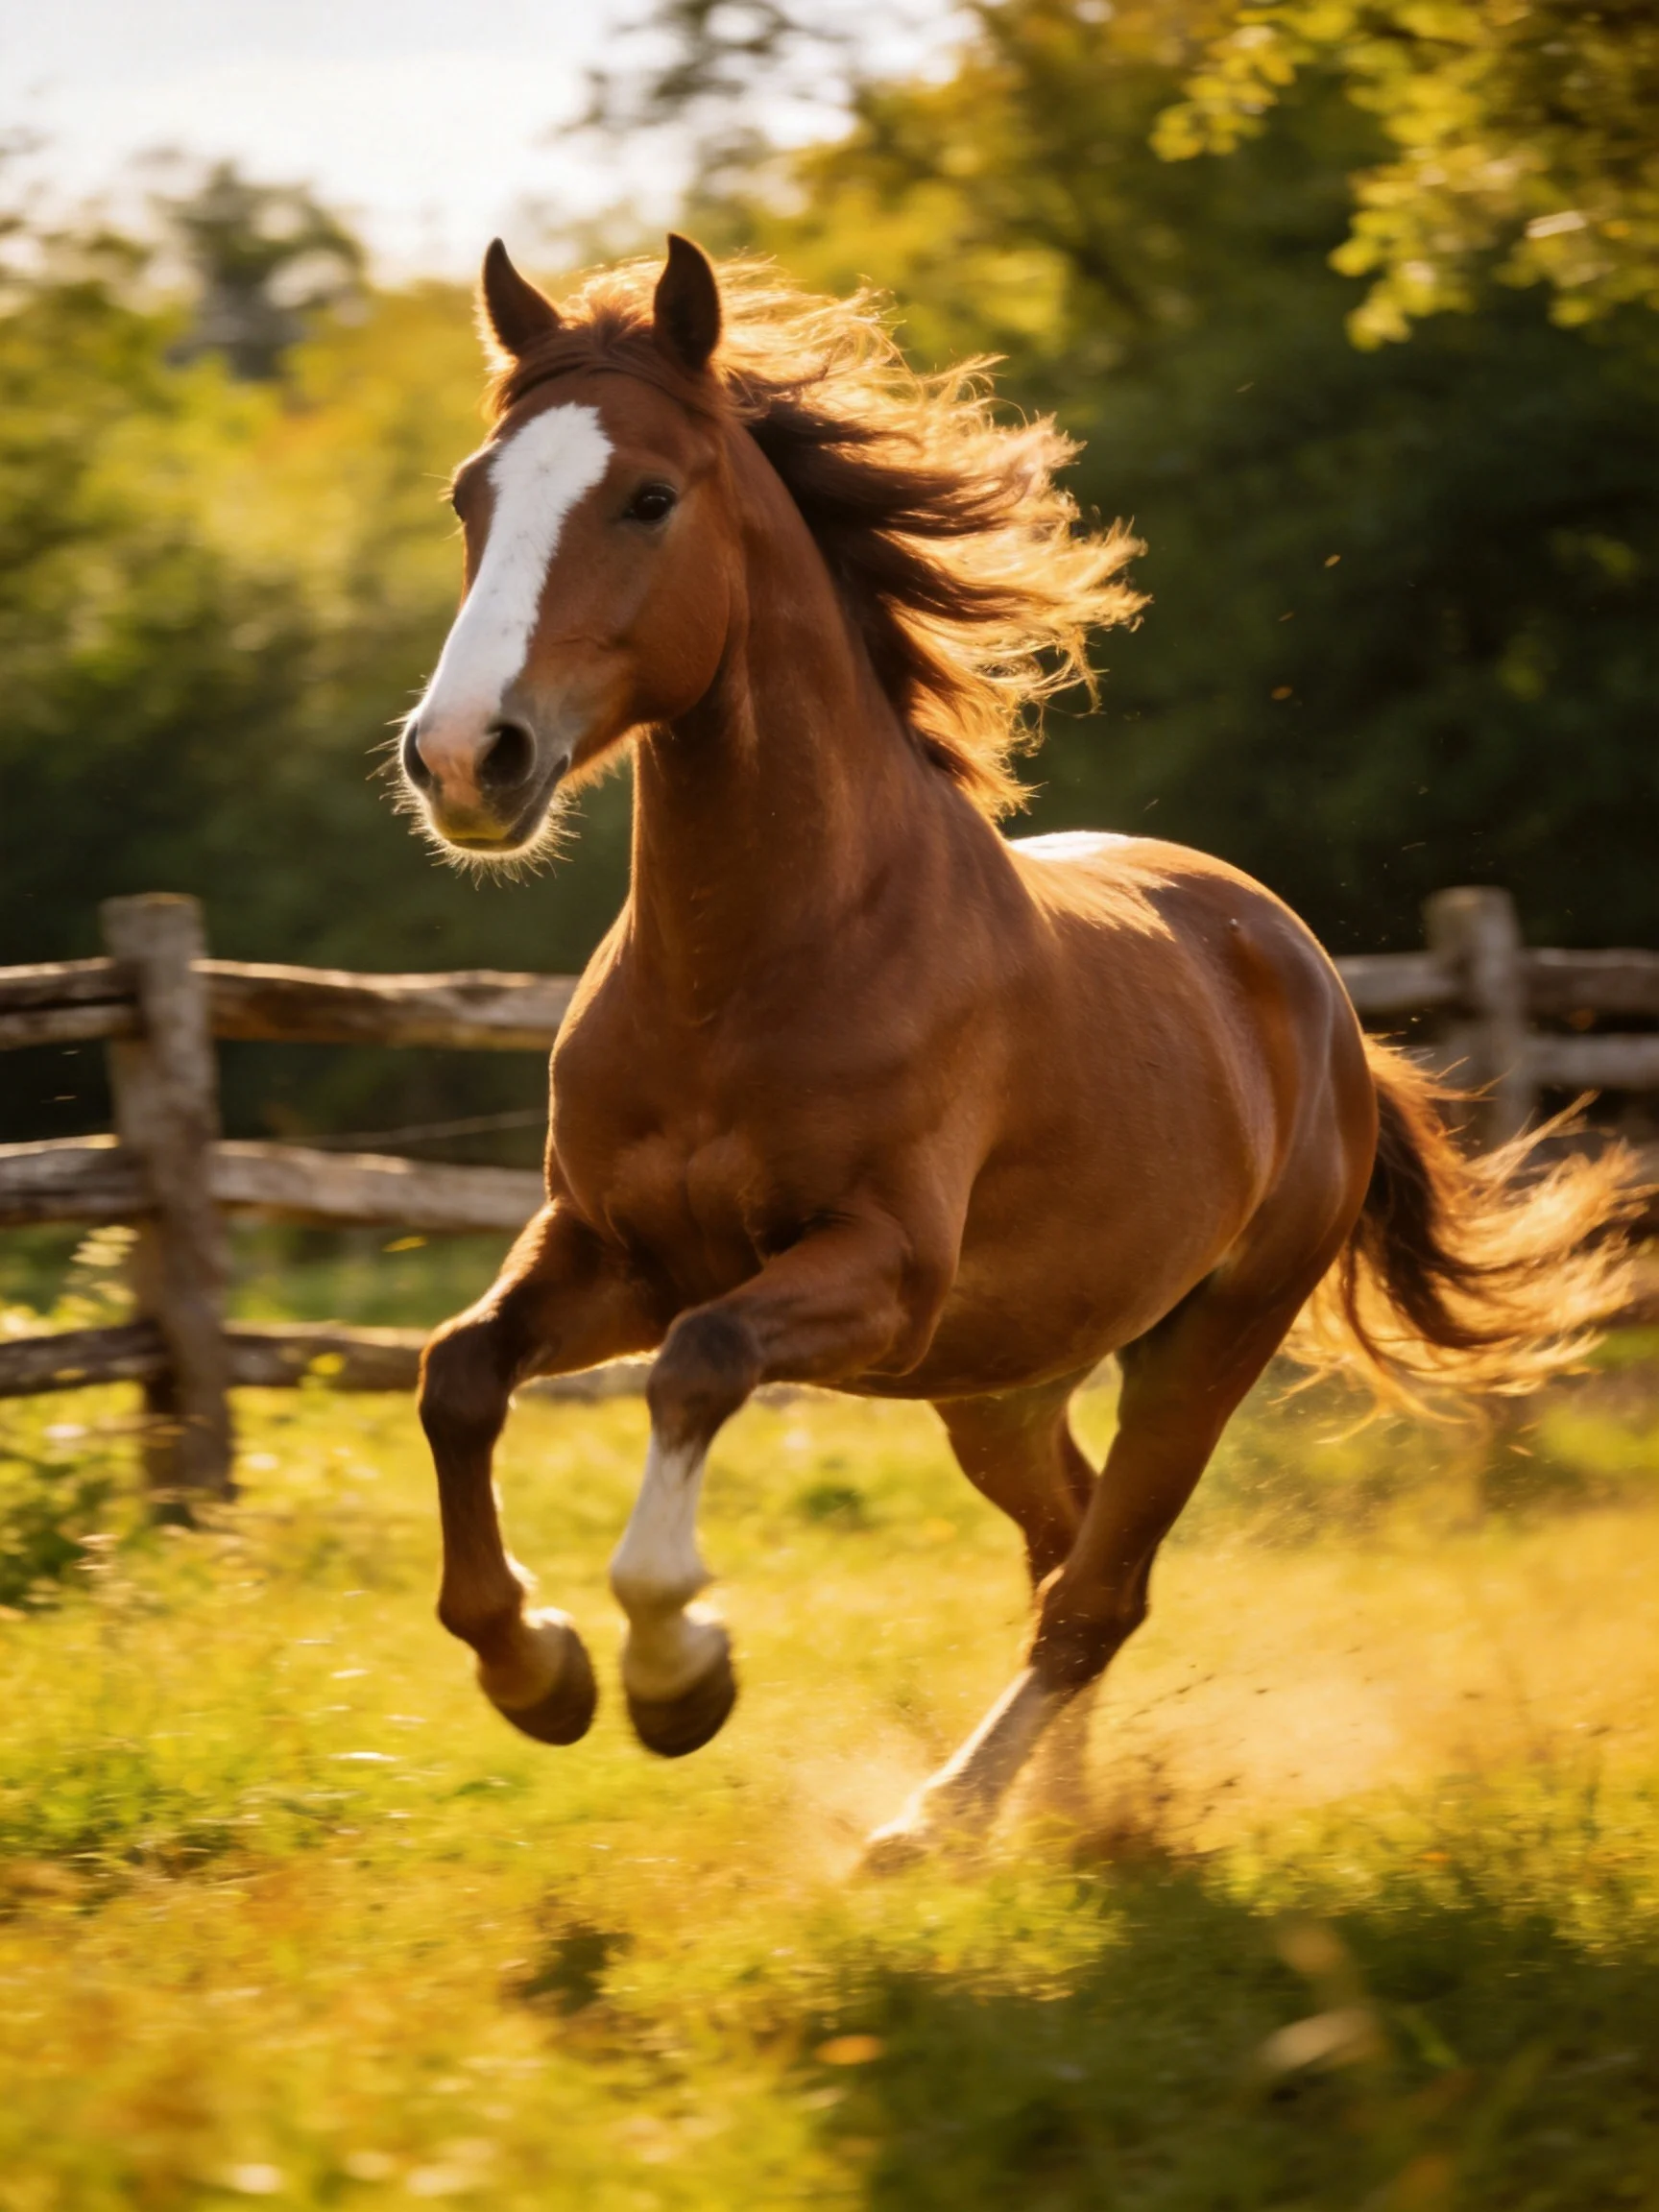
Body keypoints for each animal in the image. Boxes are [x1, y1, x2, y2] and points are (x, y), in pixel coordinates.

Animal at [396, 234, 1632, 1862]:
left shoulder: (878, 1272)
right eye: (471, 494)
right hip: (1001, 1380)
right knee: (1065, 1543)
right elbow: (459, 1372)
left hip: (1202, 1345)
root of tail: (1300, 973)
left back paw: (936, 1823)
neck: (751, 970)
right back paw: (1052, 1813)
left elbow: (696, 1367)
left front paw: (677, 1672)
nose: (464, 757)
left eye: (648, 496)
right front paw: (536, 1669)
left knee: (1100, 1589)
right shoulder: (613, 1248)